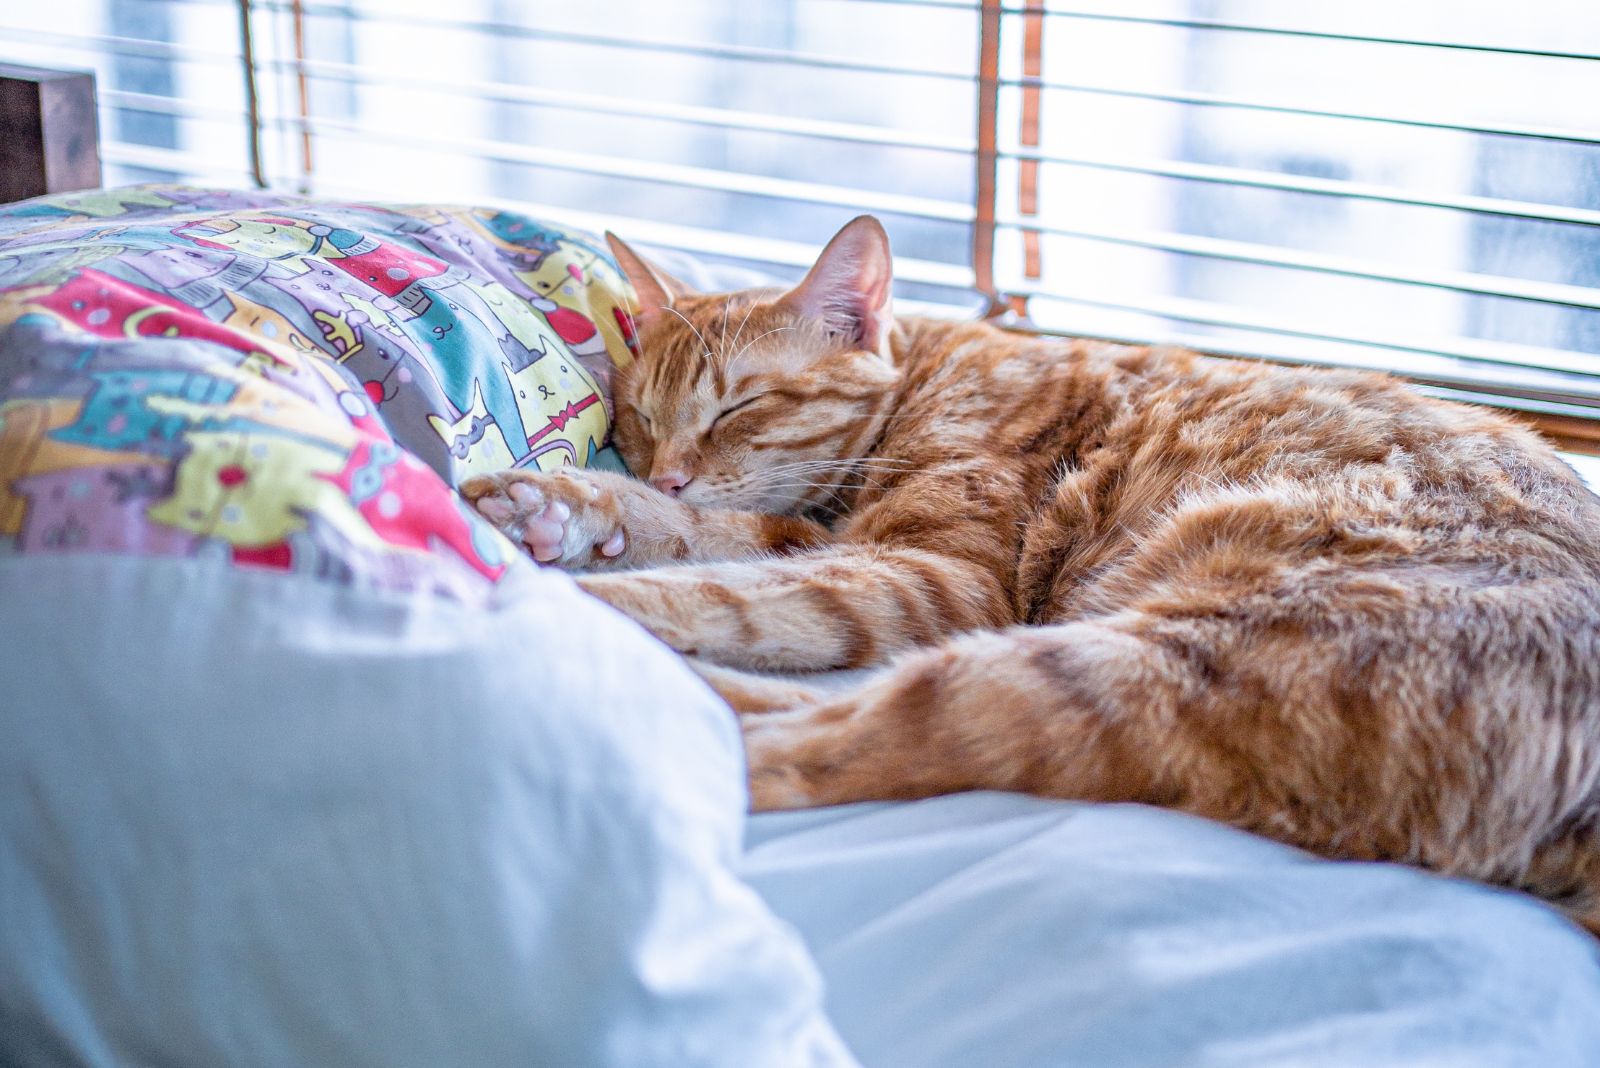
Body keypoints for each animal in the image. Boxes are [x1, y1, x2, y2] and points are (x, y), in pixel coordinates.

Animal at [464, 217, 1600, 933]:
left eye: (739, 406)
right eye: (640, 415)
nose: (667, 465)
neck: (923, 376)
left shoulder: (933, 579)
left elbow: (726, 589)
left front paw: (586, 572)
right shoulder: (828, 540)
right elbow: (709, 539)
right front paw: (571, 508)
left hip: (1142, 657)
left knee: (821, 741)